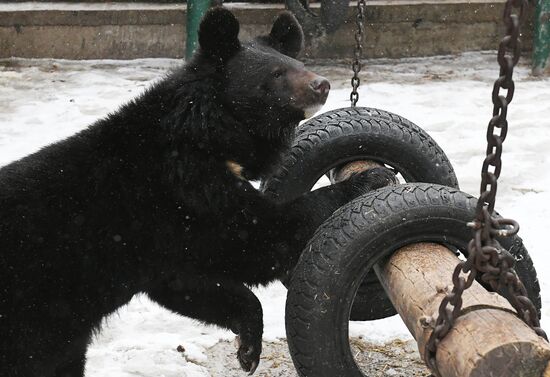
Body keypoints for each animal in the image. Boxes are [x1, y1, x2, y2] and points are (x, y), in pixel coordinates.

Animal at [0, 6, 396, 376]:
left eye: (298, 63)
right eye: (275, 74)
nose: (322, 85)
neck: (208, 132)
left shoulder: (164, 255)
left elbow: (189, 285)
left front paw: (248, 351)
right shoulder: (184, 191)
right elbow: (253, 237)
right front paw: (371, 177)